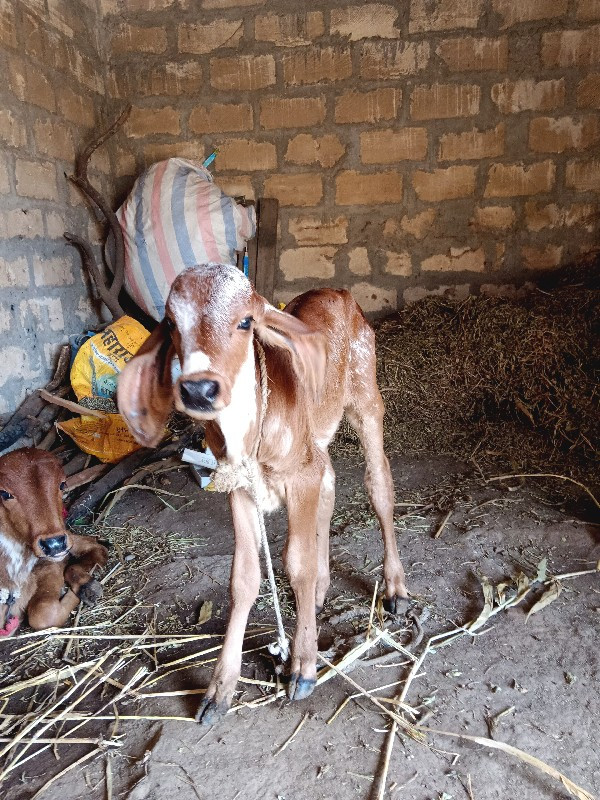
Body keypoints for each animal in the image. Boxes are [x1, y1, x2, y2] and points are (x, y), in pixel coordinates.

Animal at [117, 264, 408, 724]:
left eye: (246, 322)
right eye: (172, 324)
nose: (199, 390)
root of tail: (338, 291)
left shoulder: (300, 476)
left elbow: (297, 562)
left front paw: (303, 666)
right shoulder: (240, 488)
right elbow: (244, 578)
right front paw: (220, 688)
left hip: (365, 397)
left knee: (378, 484)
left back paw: (394, 588)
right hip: (317, 443)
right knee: (329, 486)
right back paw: (322, 590)